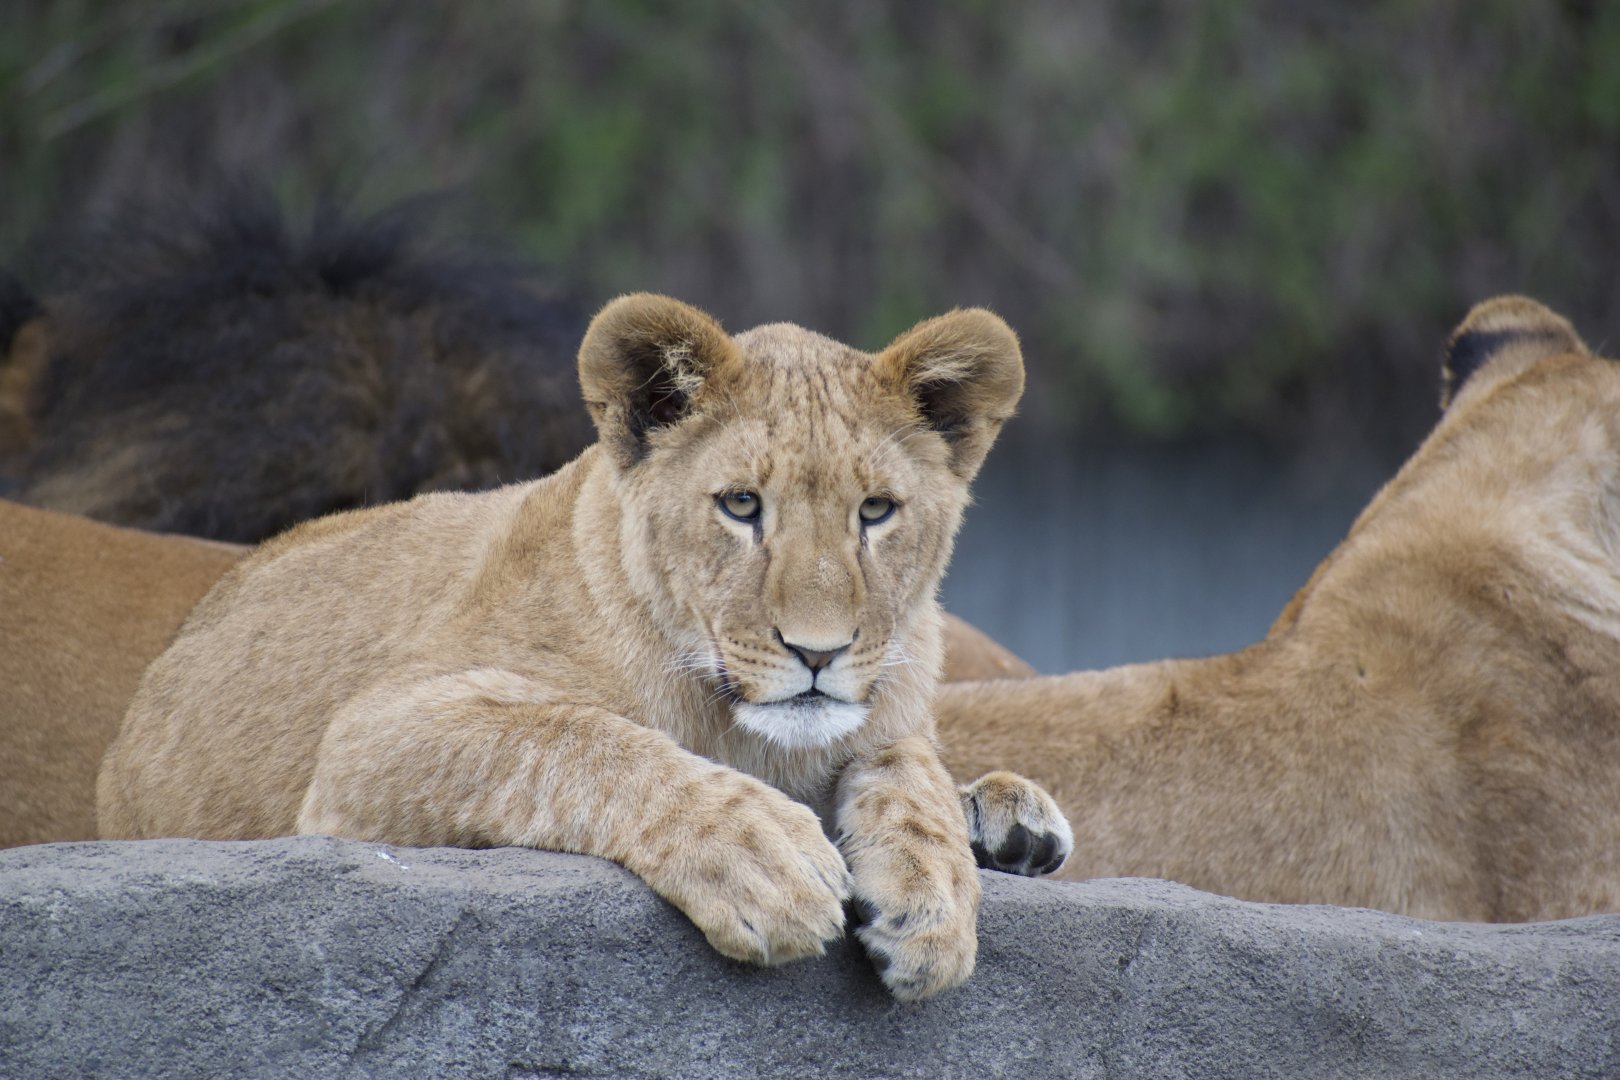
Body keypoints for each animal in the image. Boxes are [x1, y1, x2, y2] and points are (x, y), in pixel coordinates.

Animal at [95, 293, 1071, 1000]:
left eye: (876, 511)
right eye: (741, 505)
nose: (819, 653)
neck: (751, 735)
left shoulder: (892, 708)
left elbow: (909, 768)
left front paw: (933, 900)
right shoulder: (372, 735)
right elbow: (581, 738)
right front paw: (766, 855)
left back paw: (1013, 821)